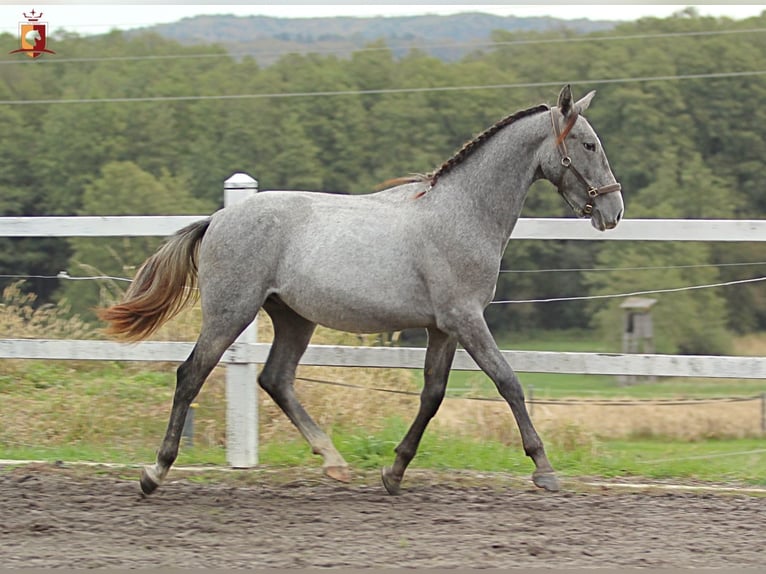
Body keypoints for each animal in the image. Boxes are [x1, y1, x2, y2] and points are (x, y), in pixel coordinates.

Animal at [99, 84, 624, 496]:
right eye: (589, 144)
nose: (613, 211)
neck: (462, 213)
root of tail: (217, 219)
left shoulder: (443, 328)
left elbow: (433, 395)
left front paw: (394, 472)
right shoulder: (466, 319)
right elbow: (508, 382)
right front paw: (545, 469)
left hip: (293, 317)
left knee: (275, 379)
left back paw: (334, 462)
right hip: (231, 313)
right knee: (191, 374)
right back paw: (154, 473)